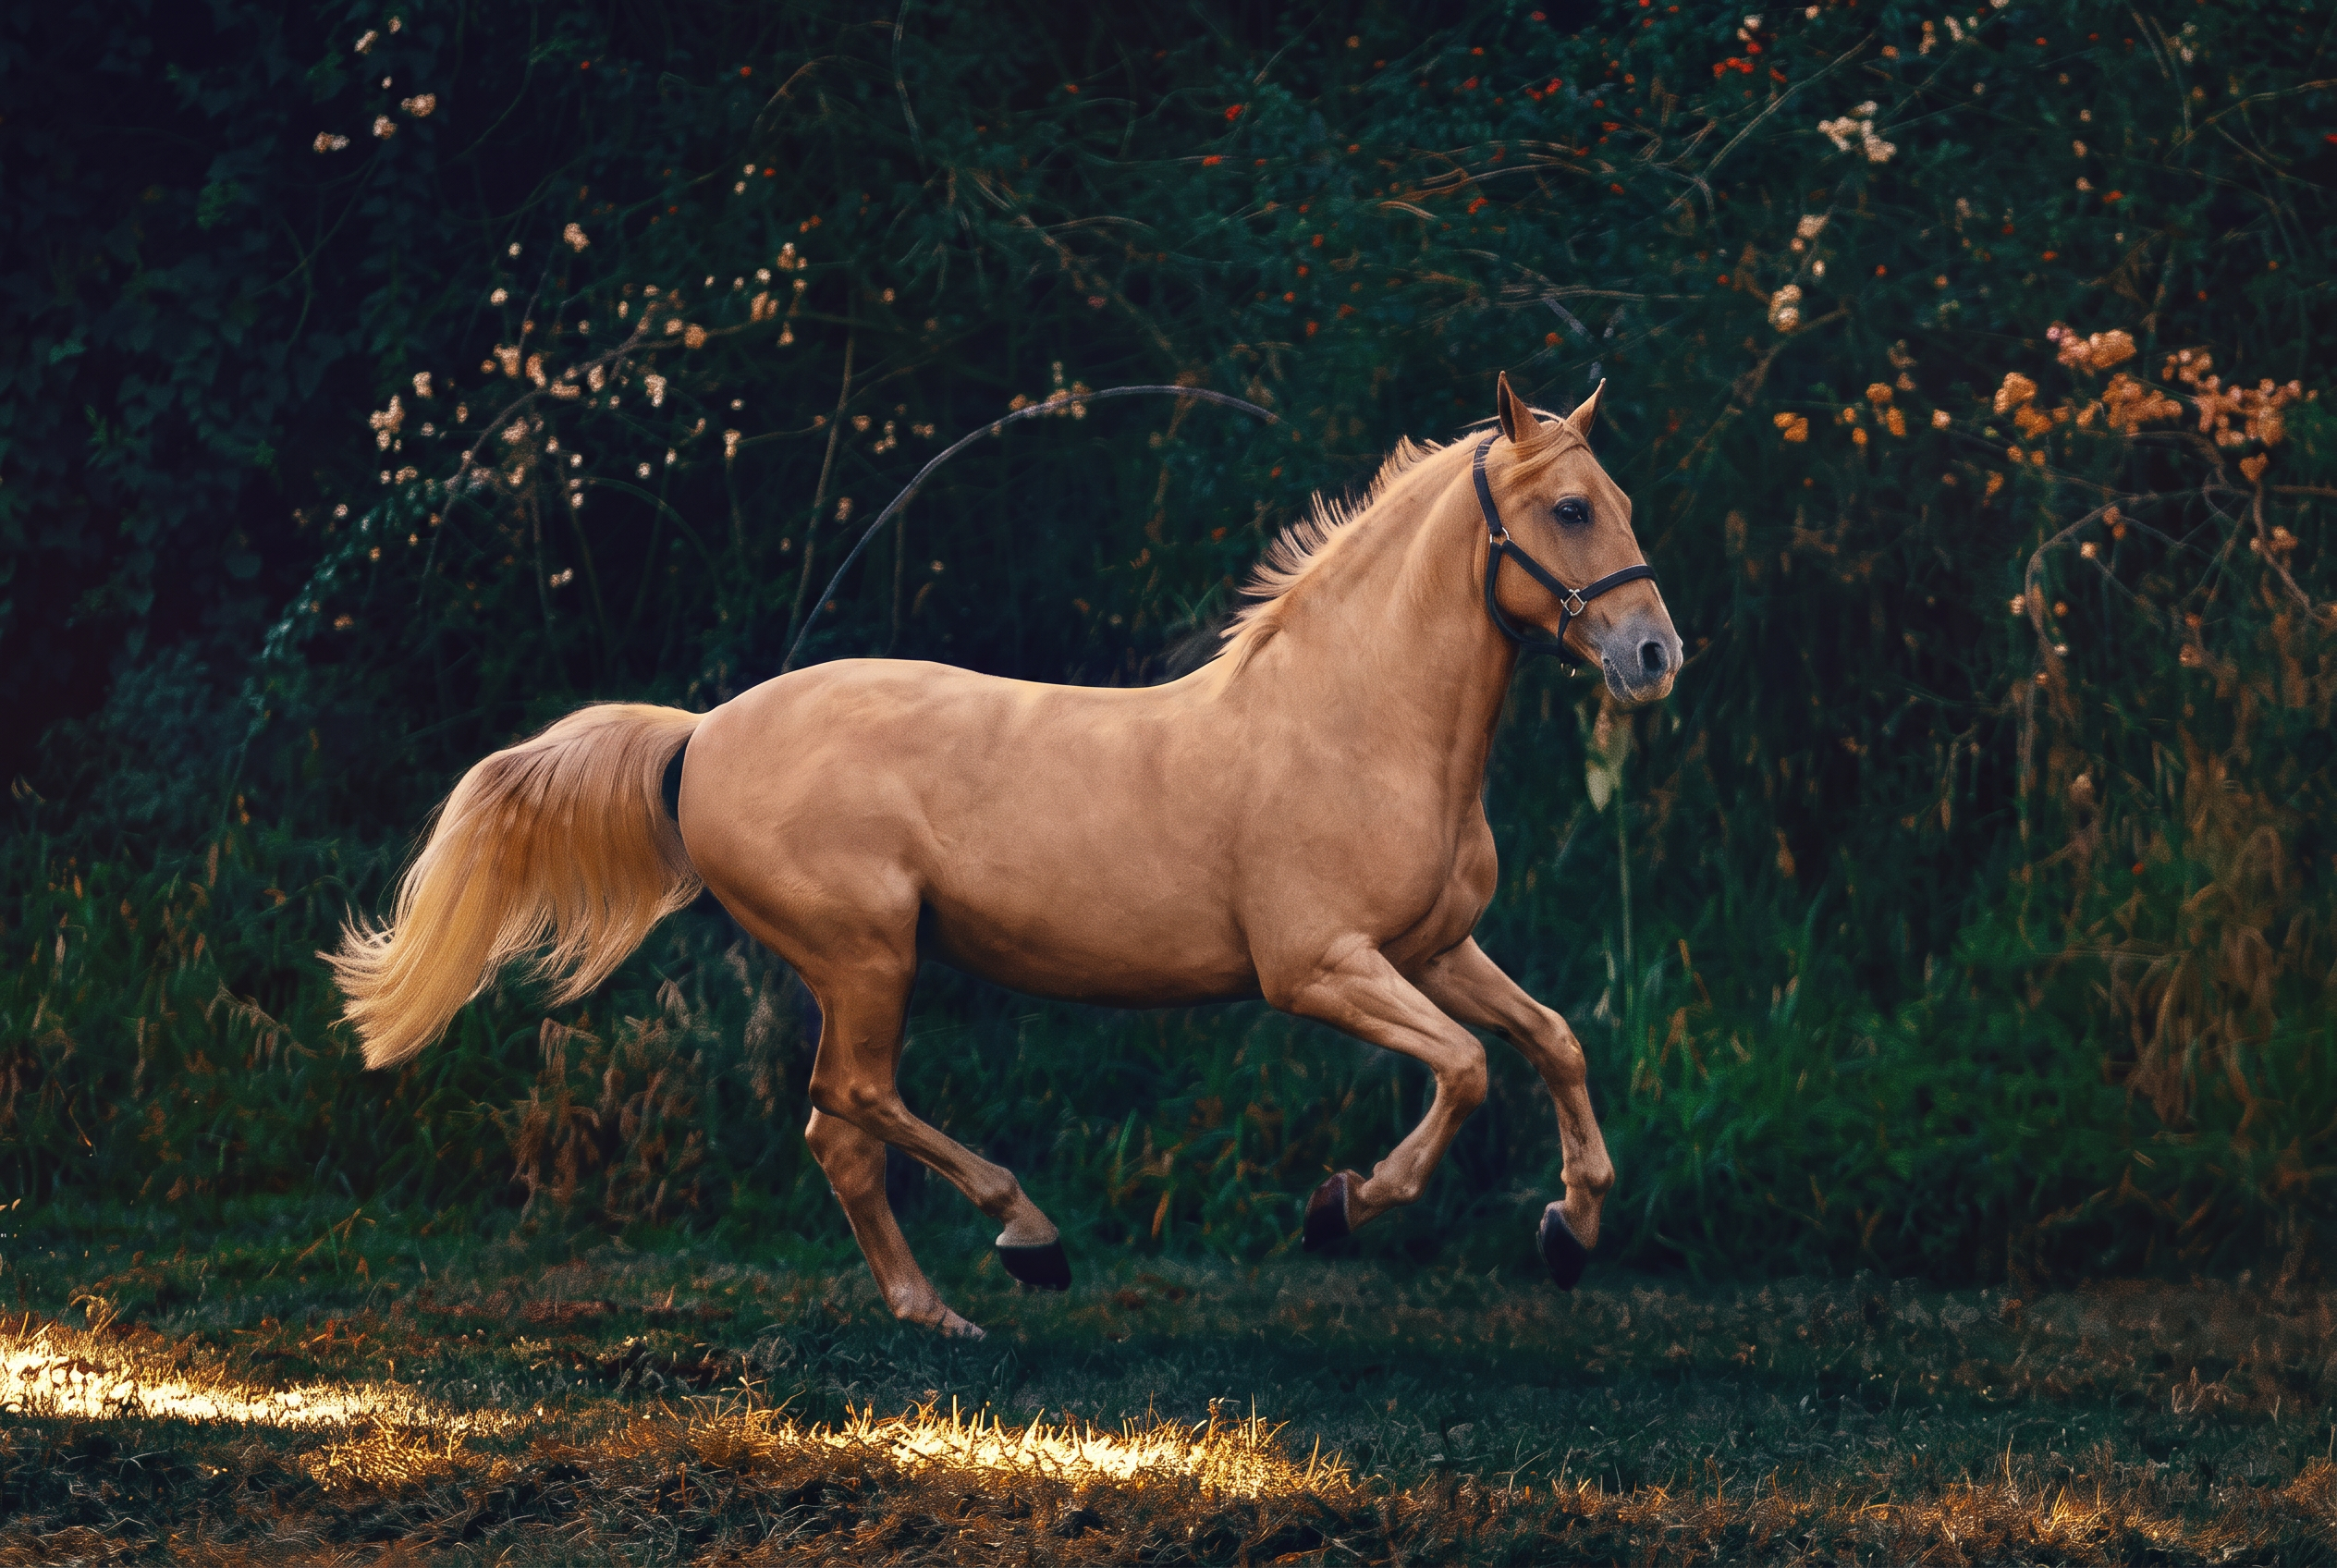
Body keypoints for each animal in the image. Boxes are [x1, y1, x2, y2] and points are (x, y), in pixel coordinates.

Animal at [329, 373, 1681, 1337]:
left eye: (1623, 503)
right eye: (1570, 509)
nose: (1654, 655)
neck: (1356, 722)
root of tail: (701, 732)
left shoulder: (1435, 949)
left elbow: (1551, 1040)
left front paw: (1570, 1230)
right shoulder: (1318, 968)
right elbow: (1465, 1070)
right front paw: (1340, 1208)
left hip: (864, 965)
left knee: (838, 1131)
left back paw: (937, 1309)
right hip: (867, 954)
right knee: (852, 1104)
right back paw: (1024, 1243)